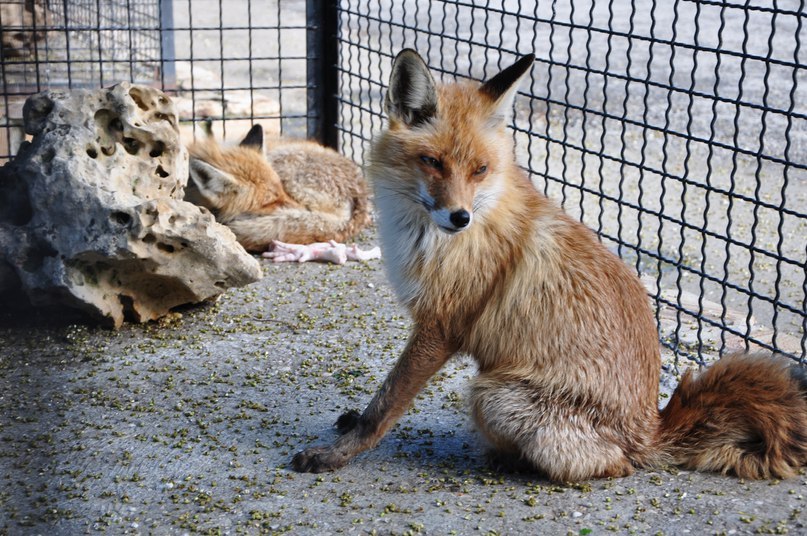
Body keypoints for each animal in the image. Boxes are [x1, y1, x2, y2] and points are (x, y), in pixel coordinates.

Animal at [294, 48, 807, 480]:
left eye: (480, 169)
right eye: (432, 162)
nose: (459, 217)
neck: (424, 234)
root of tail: (651, 428)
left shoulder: (441, 327)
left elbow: (385, 406)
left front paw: (339, 454)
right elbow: (377, 403)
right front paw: (349, 426)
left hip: (491, 395)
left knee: (612, 465)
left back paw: (509, 462)